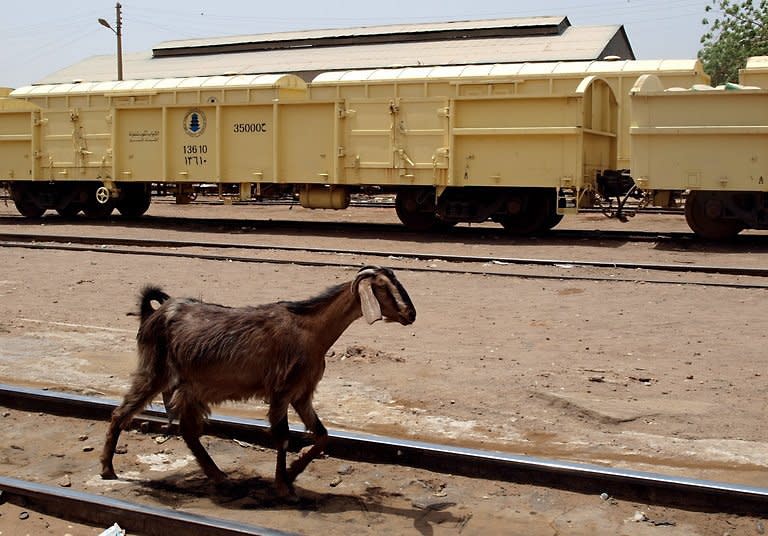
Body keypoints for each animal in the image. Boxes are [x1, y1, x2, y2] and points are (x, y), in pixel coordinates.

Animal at [101, 266, 416, 496]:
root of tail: (153, 314)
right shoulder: (281, 391)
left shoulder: (302, 394)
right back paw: (107, 469)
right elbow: (283, 437)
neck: (310, 331)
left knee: (188, 431)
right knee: (121, 414)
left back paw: (221, 478)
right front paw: (282, 485)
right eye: (384, 288)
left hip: (190, 387)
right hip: (155, 372)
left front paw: (294, 472)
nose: (410, 314)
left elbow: (322, 435)